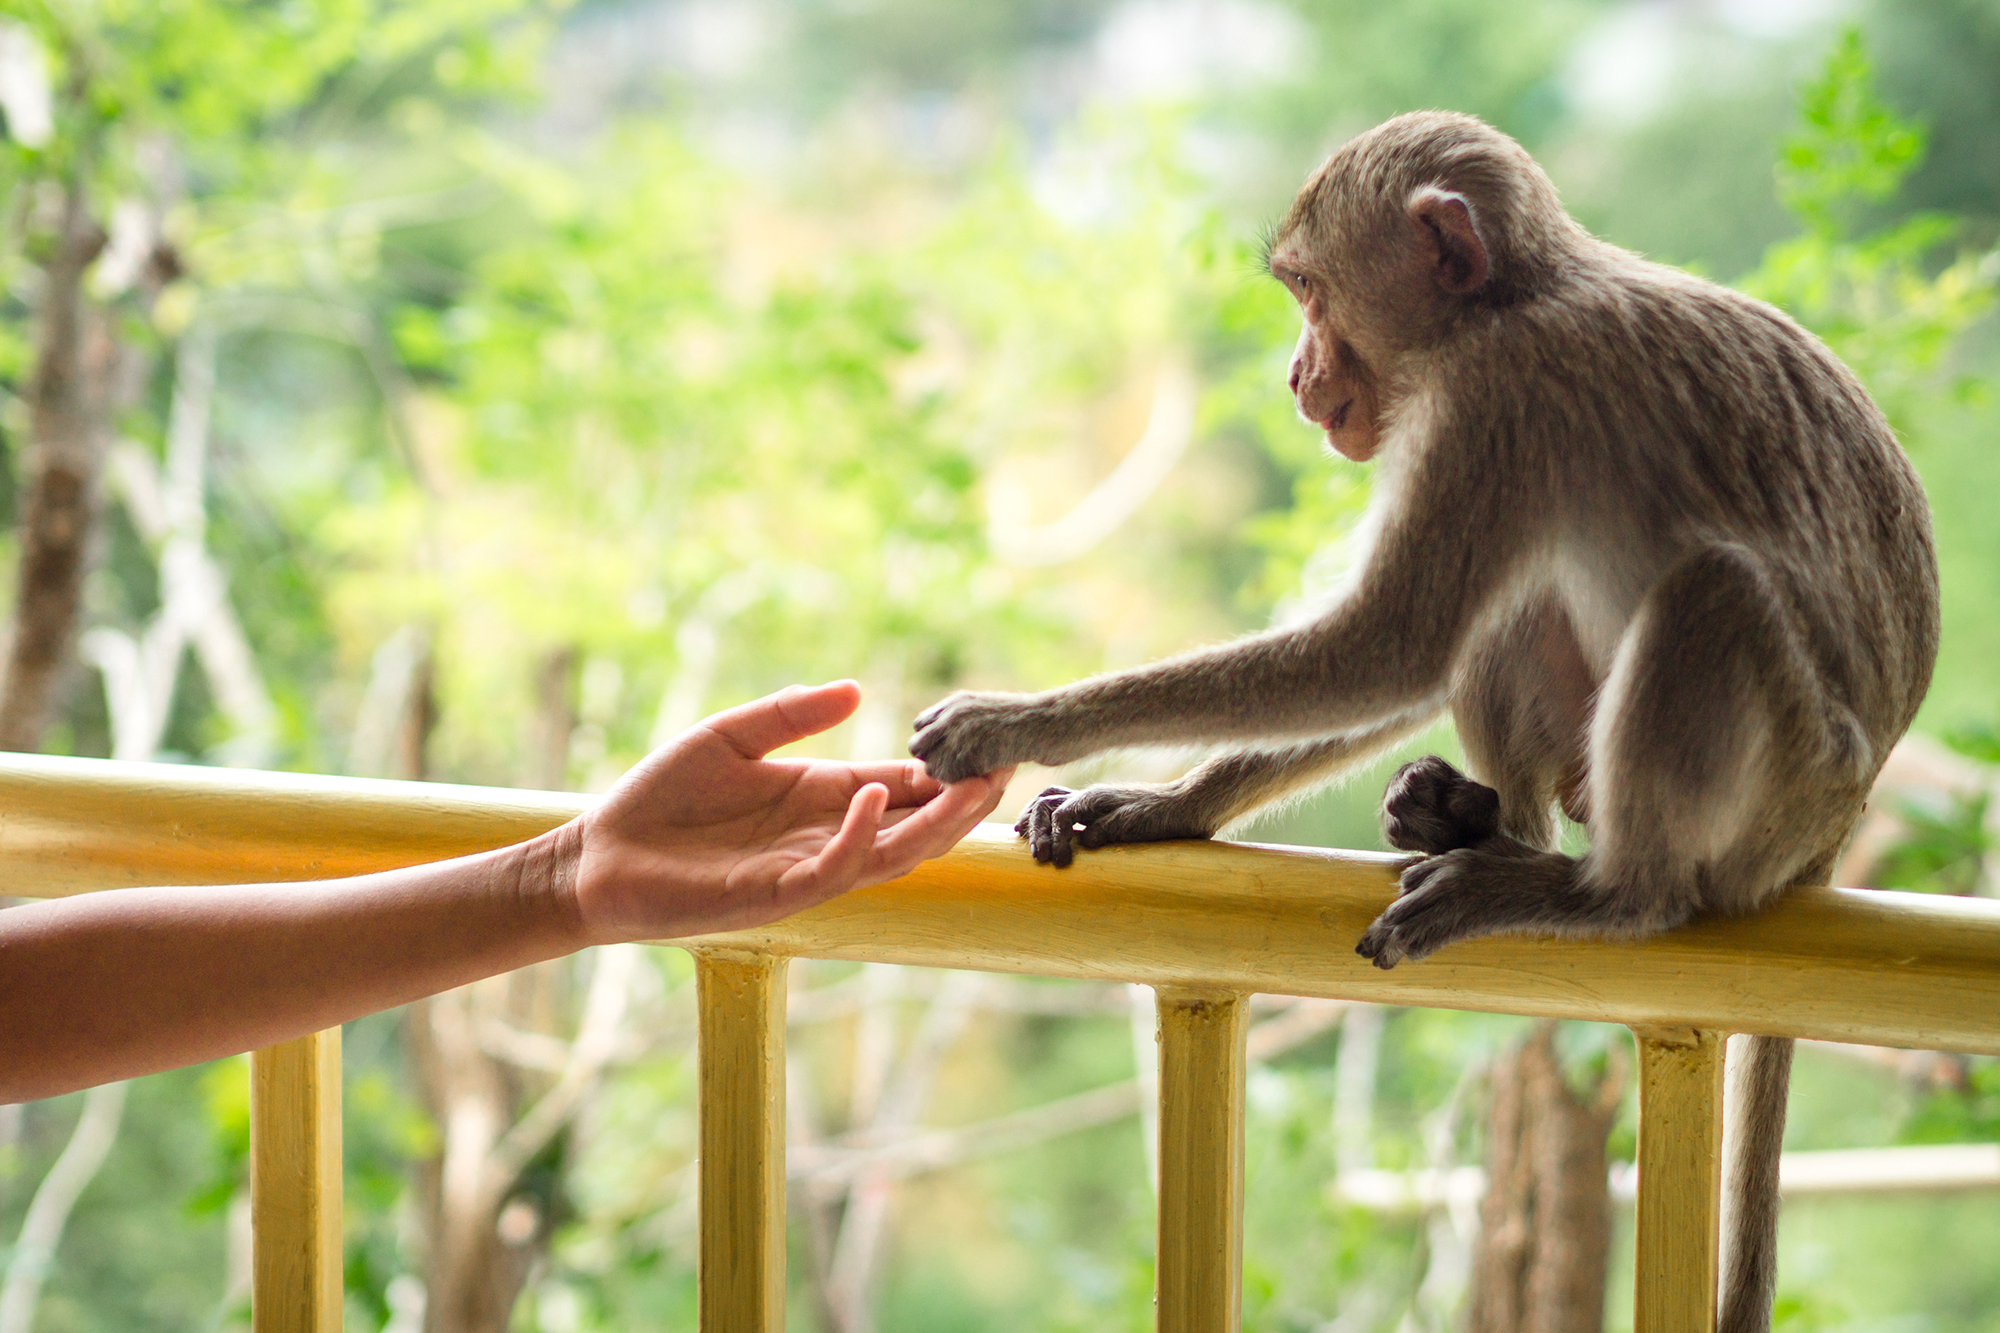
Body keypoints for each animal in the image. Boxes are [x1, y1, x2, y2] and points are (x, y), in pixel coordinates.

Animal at [912, 114, 1936, 1328]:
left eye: (1310, 291)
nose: (1296, 374)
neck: (1507, 301)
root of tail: (1841, 821)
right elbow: (1409, 649)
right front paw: (1165, 803)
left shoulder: (1497, 398)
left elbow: (1388, 640)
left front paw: (1016, 721)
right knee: (1519, 613)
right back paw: (1483, 825)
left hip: (1782, 785)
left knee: (1709, 596)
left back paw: (1594, 892)